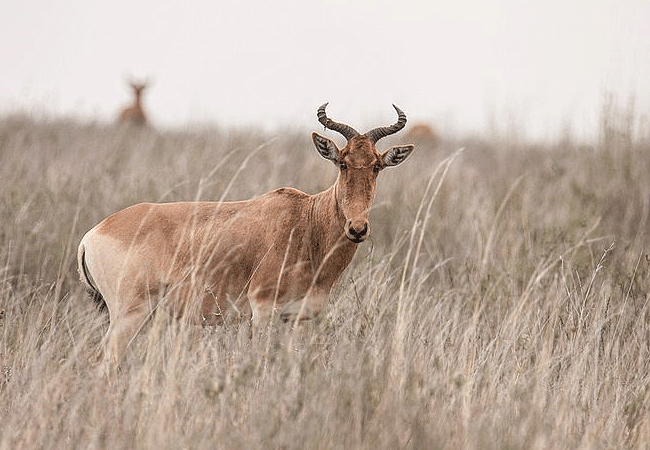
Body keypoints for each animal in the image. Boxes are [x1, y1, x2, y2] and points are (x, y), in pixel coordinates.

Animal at [76, 103, 410, 364]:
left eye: (377, 166)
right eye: (342, 162)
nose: (357, 228)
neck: (306, 220)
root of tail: (92, 234)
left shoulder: (296, 317)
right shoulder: (262, 309)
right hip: (129, 313)